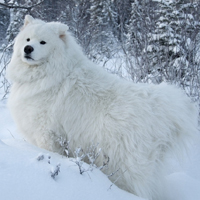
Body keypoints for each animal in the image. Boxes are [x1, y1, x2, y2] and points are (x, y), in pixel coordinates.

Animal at [6, 15, 198, 200]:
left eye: (43, 42)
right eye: (27, 39)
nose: (28, 49)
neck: (49, 73)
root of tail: (156, 105)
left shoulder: (47, 134)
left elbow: (49, 154)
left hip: (121, 164)